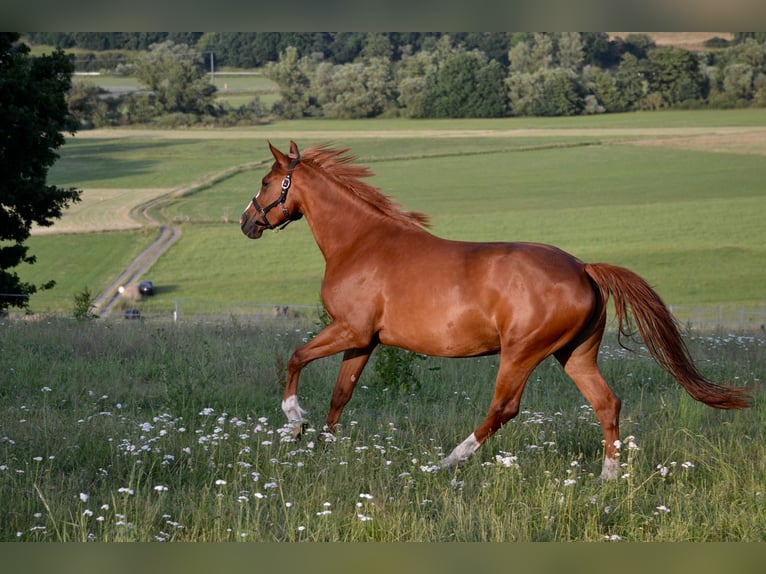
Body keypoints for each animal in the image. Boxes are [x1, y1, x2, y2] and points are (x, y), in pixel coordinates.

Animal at [240, 141, 753, 479]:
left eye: (265, 182)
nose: (247, 222)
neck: (361, 243)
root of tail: (584, 268)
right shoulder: (364, 340)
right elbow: (340, 395)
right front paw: (322, 448)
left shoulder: (349, 329)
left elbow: (296, 359)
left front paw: (295, 424)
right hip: (575, 354)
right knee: (607, 403)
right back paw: (606, 479)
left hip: (521, 353)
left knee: (503, 409)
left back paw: (446, 461)